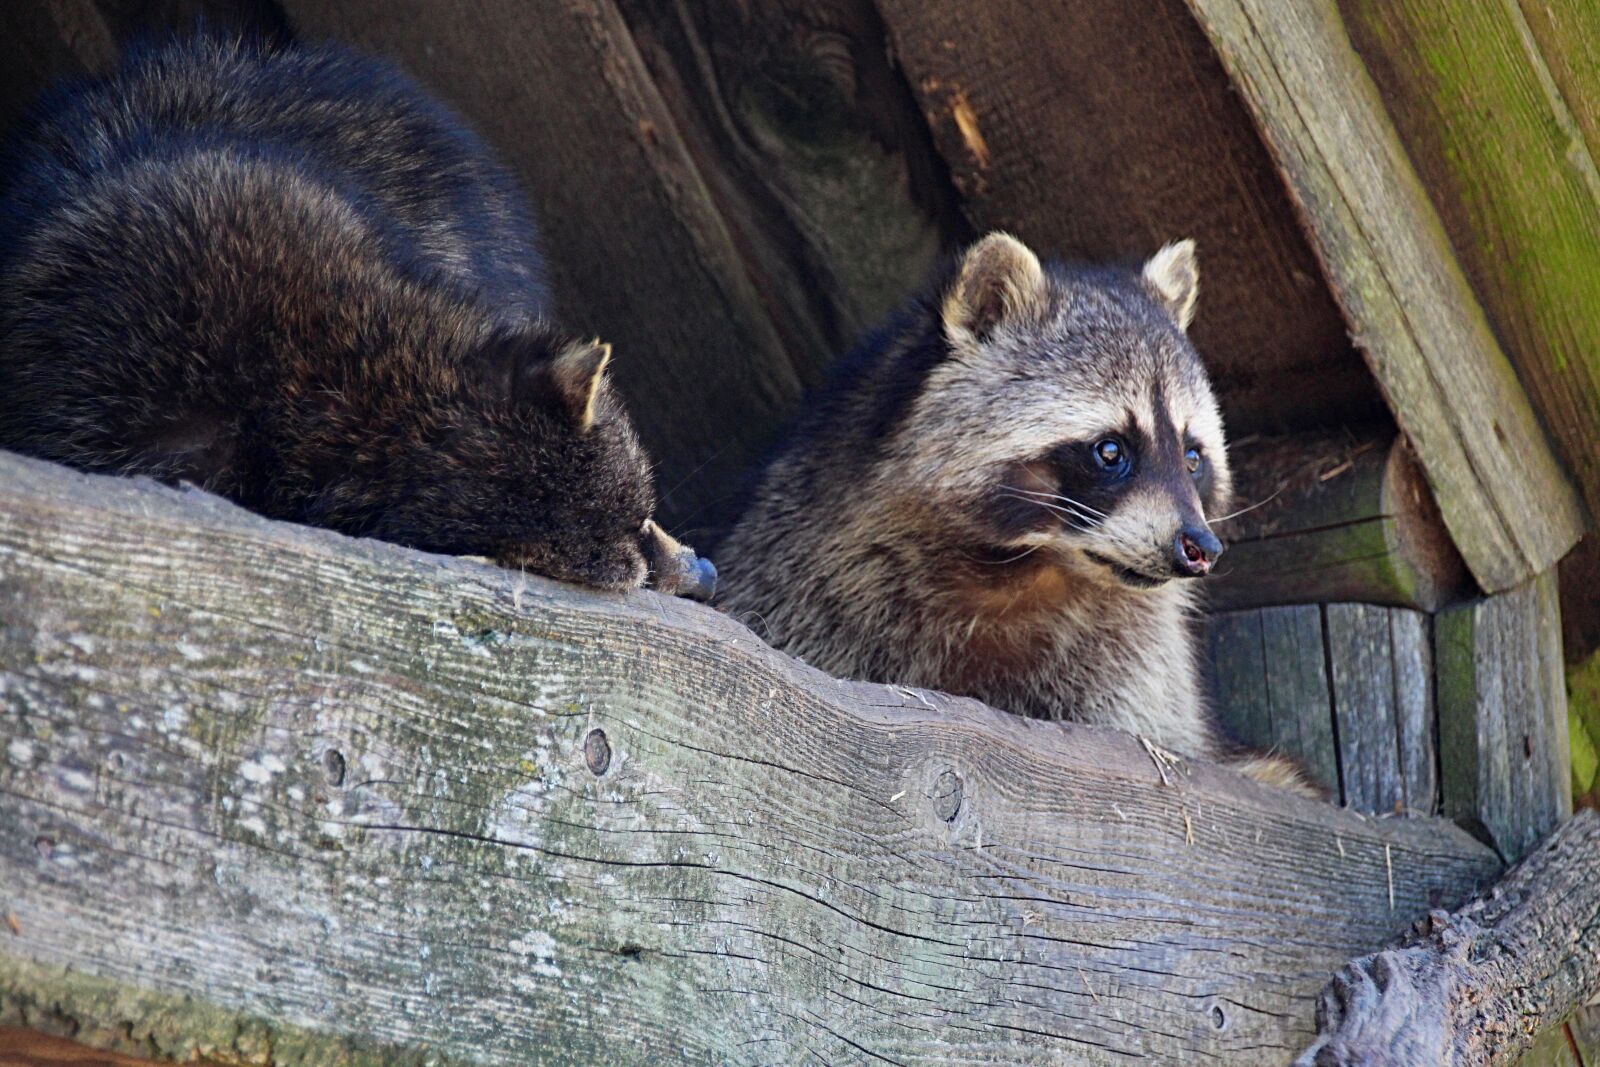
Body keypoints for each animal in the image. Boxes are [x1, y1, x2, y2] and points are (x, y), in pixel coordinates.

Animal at [718, 232, 1309, 791]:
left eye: (1192, 457)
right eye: (1111, 450)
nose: (1200, 547)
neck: (1022, 567)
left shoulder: (1131, 655)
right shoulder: (812, 583)